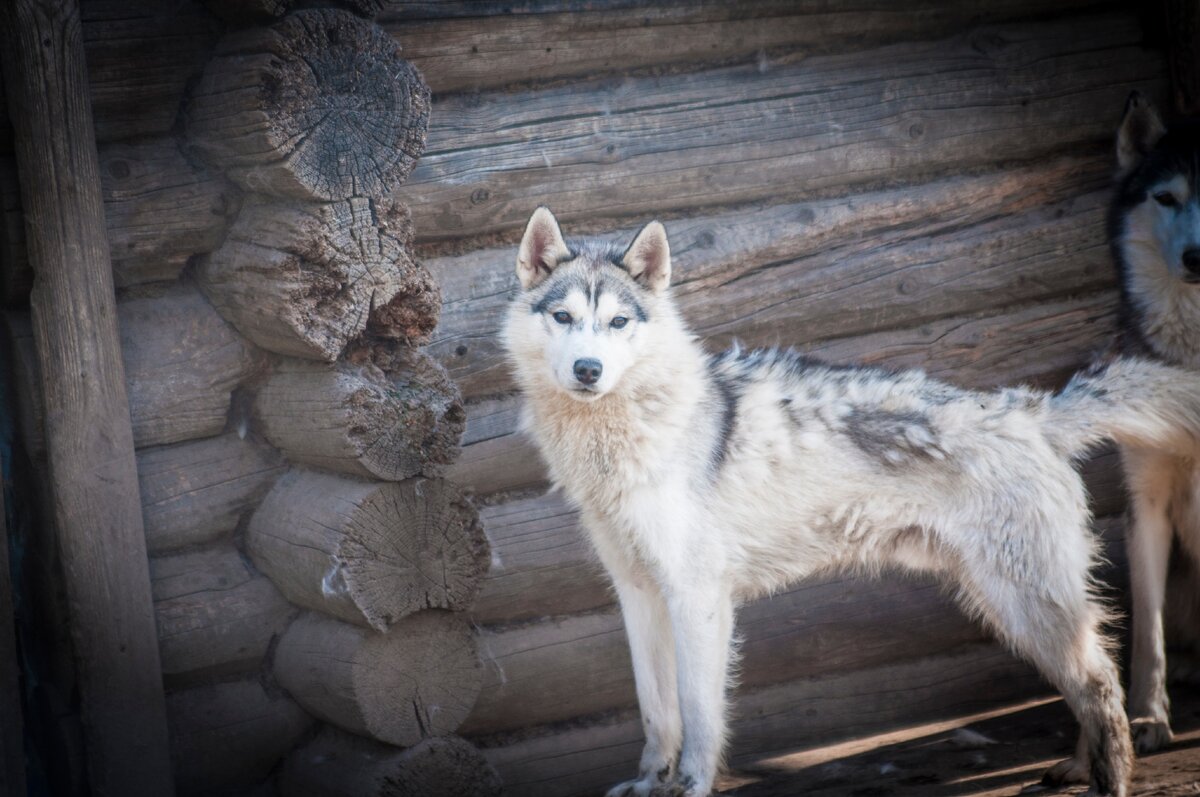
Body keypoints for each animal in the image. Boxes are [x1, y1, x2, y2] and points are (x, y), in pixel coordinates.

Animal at [501, 206, 1200, 797]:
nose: (588, 370)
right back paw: (1075, 769)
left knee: (1101, 685)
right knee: (1090, 680)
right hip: (1015, 610)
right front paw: (651, 784)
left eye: (619, 323)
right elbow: (656, 717)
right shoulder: (639, 597)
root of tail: (1034, 409)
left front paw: (691, 786)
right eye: (563, 318)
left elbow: (699, 719)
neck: (633, 434)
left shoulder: (698, 600)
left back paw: (1109, 782)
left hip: (1025, 605)